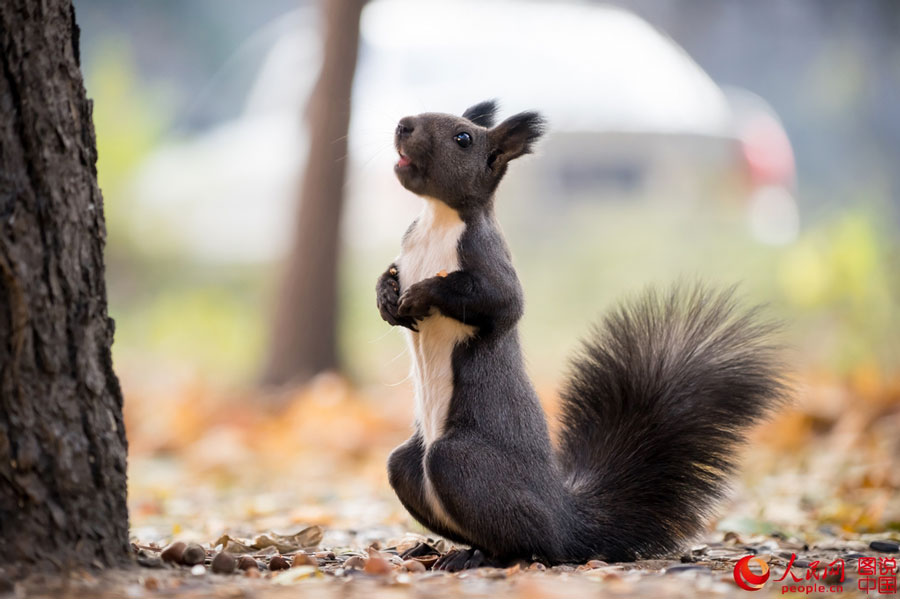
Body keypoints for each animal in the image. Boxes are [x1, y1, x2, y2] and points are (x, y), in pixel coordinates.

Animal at [375, 100, 786, 571]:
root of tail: (565, 520)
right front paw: (386, 297)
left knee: (527, 541)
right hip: (407, 467)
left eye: (463, 138)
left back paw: (483, 557)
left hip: (461, 466)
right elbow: (389, 275)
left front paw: (421, 294)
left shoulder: (489, 260)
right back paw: (436, 549)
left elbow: (500, 300)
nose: (403, 125)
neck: (437, 219)